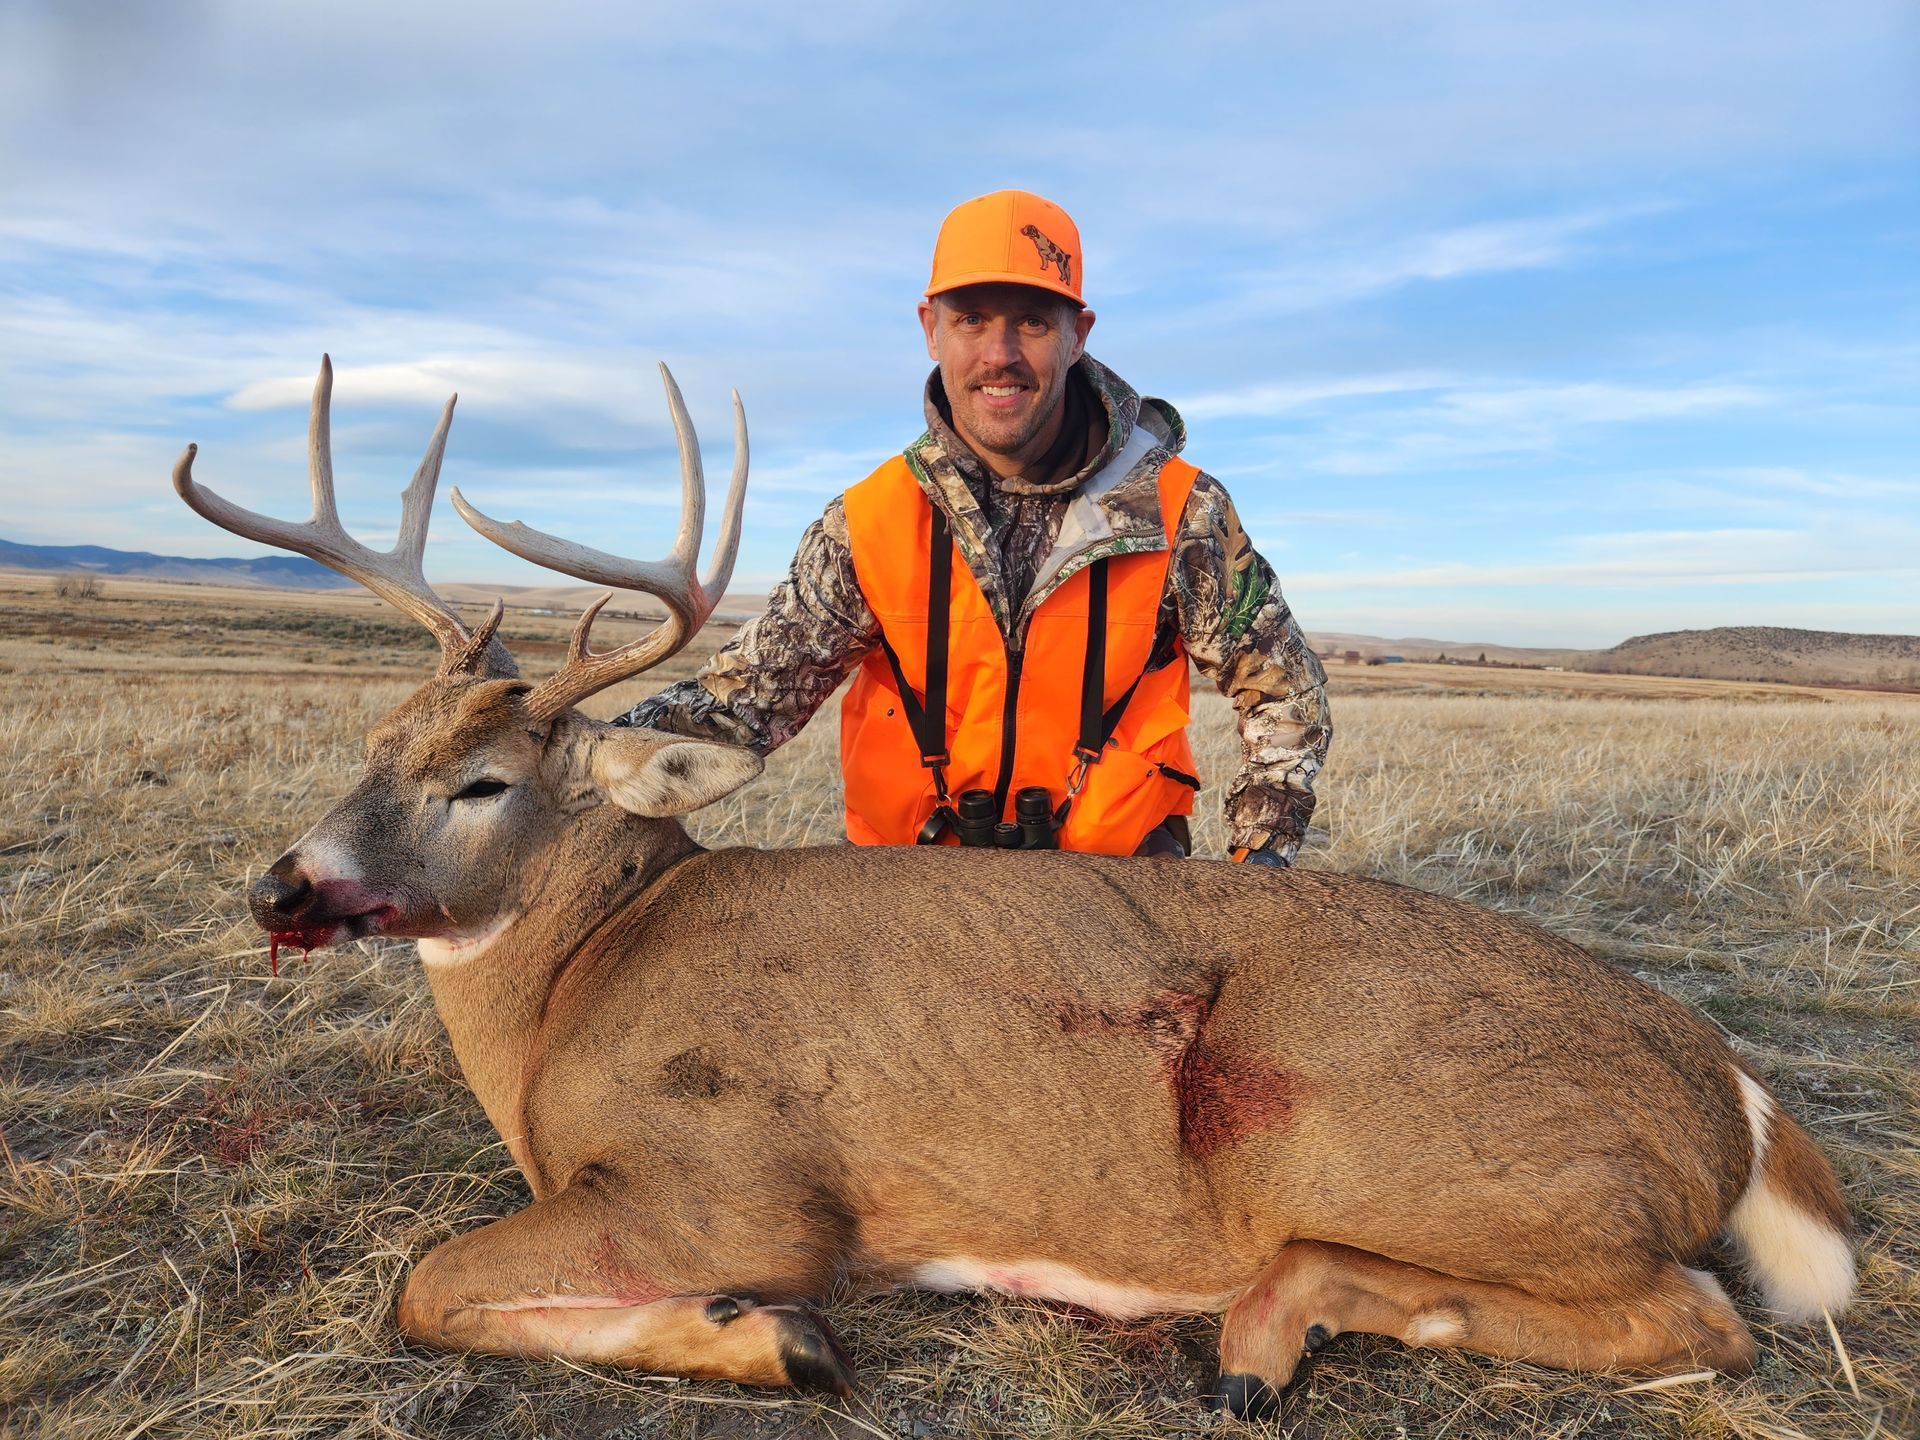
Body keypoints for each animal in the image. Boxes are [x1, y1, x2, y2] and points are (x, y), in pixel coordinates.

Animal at [171, 357, 1855, 1421]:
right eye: (371, 742)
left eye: (483, 783)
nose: (281, 888)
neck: (575, 989)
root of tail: (1731, 1082)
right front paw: (748, 1335)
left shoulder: (737, 1183)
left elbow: (426, 1285)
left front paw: (774, 1339)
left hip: (1353, 1133)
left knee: (1696, 1318)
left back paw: (1263, 1331)